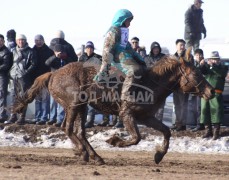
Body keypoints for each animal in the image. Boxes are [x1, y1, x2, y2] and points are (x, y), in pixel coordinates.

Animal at [13, 48, 215, 165]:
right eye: (196, 73)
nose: (212, 91)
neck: (151, 82)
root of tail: (53, 74)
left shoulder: (146, 117)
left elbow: (166, 131)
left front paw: (158, 155)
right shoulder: (127, 114)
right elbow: (136, 137)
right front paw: (114, 141)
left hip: (81, 107)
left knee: (79, 132)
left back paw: (94, 156)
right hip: (74, 105)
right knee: (68, 128)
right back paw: (83, 153)